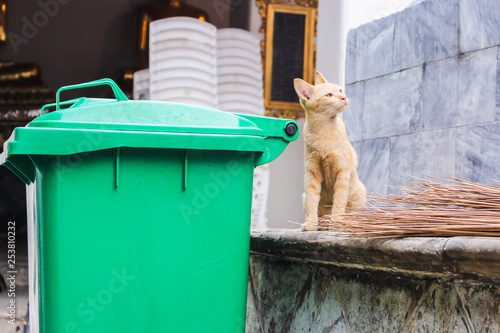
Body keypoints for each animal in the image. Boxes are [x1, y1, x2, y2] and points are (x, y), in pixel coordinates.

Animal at [292, 70, 368, 231]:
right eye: (328, 95)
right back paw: (322, 223)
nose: (344, 97)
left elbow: (339, 201)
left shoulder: (342, 172)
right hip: (304, 195)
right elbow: (312, 202)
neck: (324, 131)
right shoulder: (312, 173)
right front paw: (311, 223)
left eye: (340, 90)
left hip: (360, 194)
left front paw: (336, 222)